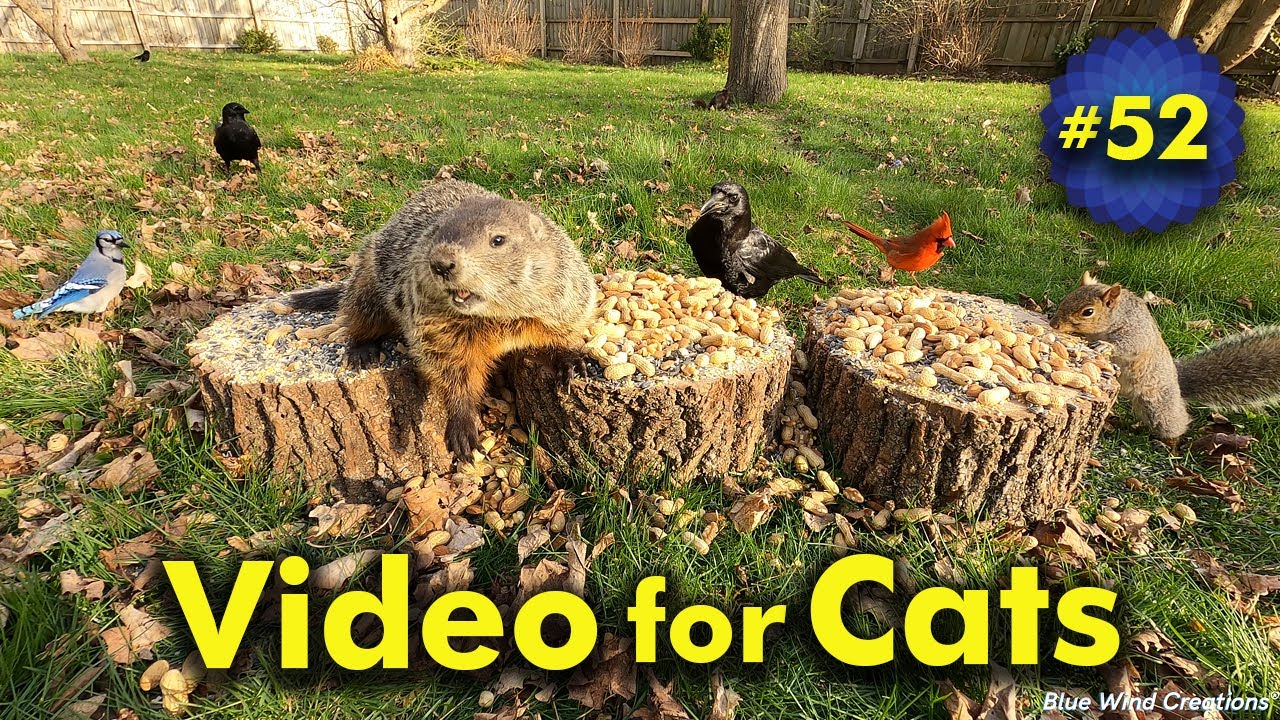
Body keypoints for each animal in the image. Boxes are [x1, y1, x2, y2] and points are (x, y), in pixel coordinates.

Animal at [290, 179, 598, 459]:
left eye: (498, 239)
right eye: (436, 233)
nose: (440, 263)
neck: (499, 315)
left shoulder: (562, 292)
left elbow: (567, 323)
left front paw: (572, 359)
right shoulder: (435, 321)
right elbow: (451, 362)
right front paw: (462, 426)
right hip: (368, 277)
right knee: (359, 311)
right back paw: (362, 350)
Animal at [1050, 272, 1280, 441]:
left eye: (1088, 312)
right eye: (1067, 297)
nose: (1054, 324)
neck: (1117, 316)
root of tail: (1178, 382)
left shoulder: (1137, 331)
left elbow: (1129, 346)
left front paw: (1106, 346)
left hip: (1159, 405)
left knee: (1176, 423)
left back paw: (1172, 442)